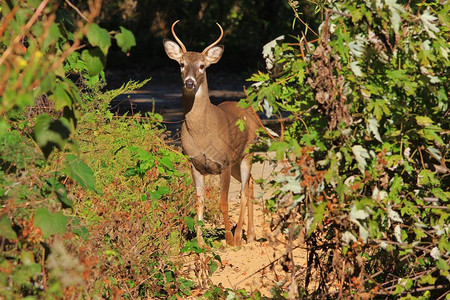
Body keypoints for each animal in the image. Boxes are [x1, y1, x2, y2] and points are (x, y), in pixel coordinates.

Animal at [163, 20, 258, 246]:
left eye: (202, 66)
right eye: (181, 64)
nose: (189, 82)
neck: (202, 135)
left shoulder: (223, 162)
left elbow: (223, 202)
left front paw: (229, 239)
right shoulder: (195, 163)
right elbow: (199, 202)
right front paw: (200, 244)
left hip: (246, 154)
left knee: (243, 191)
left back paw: (239, 236)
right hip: (237, 161)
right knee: (250, 183)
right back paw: (250, 235)